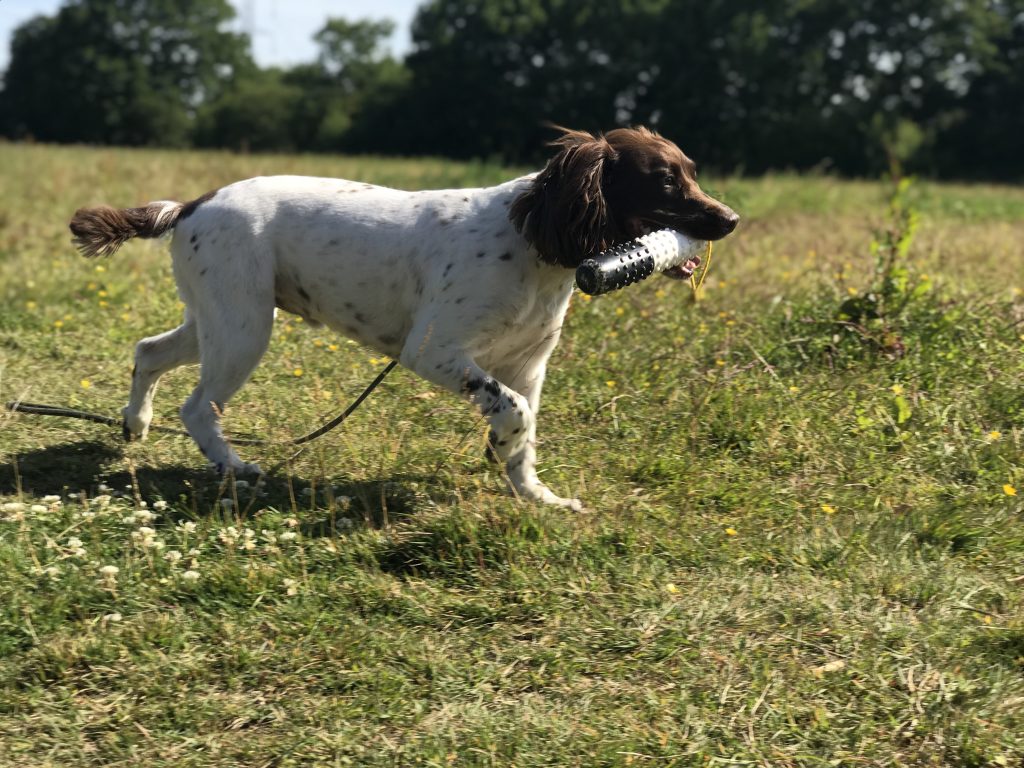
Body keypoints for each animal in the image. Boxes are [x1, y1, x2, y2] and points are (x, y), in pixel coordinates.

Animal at [72, 126, 741, 512]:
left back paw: (135, 425)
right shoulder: (433, 349)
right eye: (664, 180)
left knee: (149, 351)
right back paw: (235, 466)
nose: (731, 218)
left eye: (692, 171)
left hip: (218, 318)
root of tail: (190, 205)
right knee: (197, 406)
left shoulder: (528, 364)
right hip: (243, 328)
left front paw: (535, 495)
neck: (532, 243)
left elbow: (526, 436)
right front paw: (501, 446)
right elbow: (514, 414)